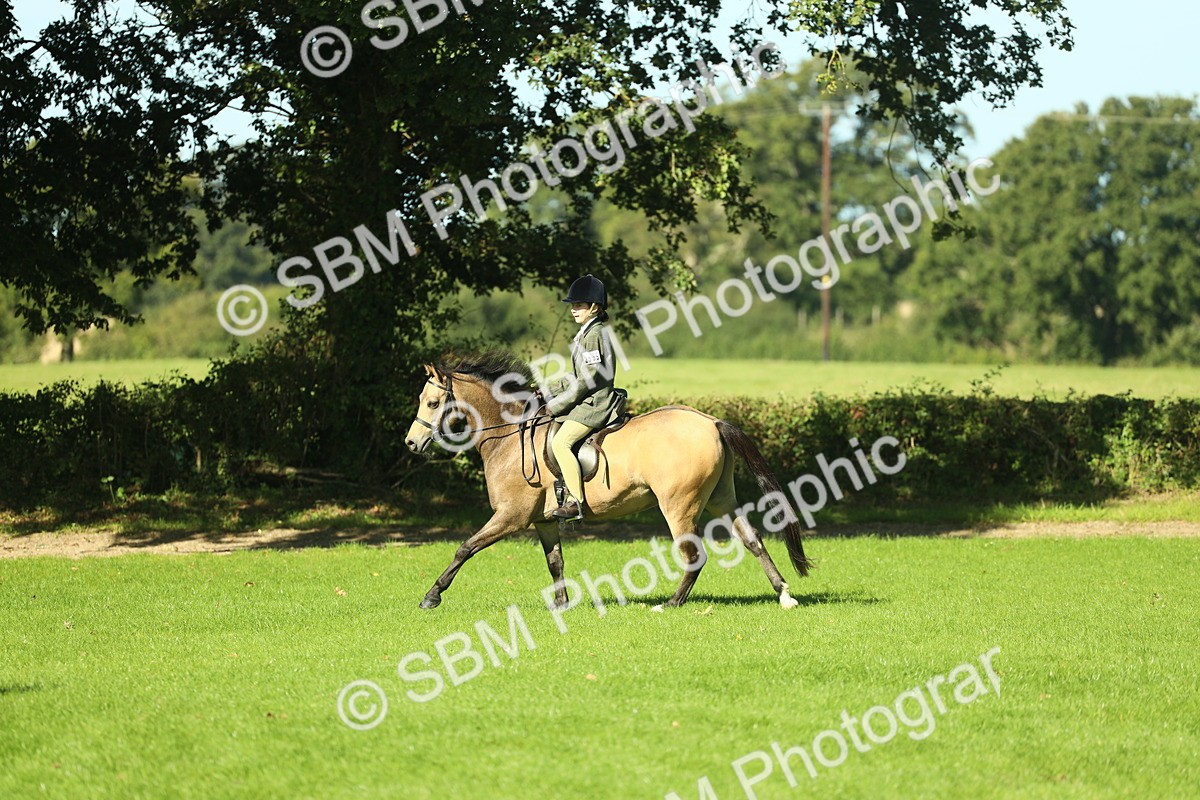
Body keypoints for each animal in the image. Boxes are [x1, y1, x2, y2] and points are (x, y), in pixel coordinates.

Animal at [403, 351, 811, 611]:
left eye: (433, 404)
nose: (411, 443)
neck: (509, 434)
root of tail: (710, 421)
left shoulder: (510, 517)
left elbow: (465, 548)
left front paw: (431, 596)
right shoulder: (542, 521)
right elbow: (555, 562)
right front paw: (561, 606)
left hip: (679, 506)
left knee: (694, 555)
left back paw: (671, 603)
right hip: (721, 499)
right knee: (753, 540)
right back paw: (784, 595)